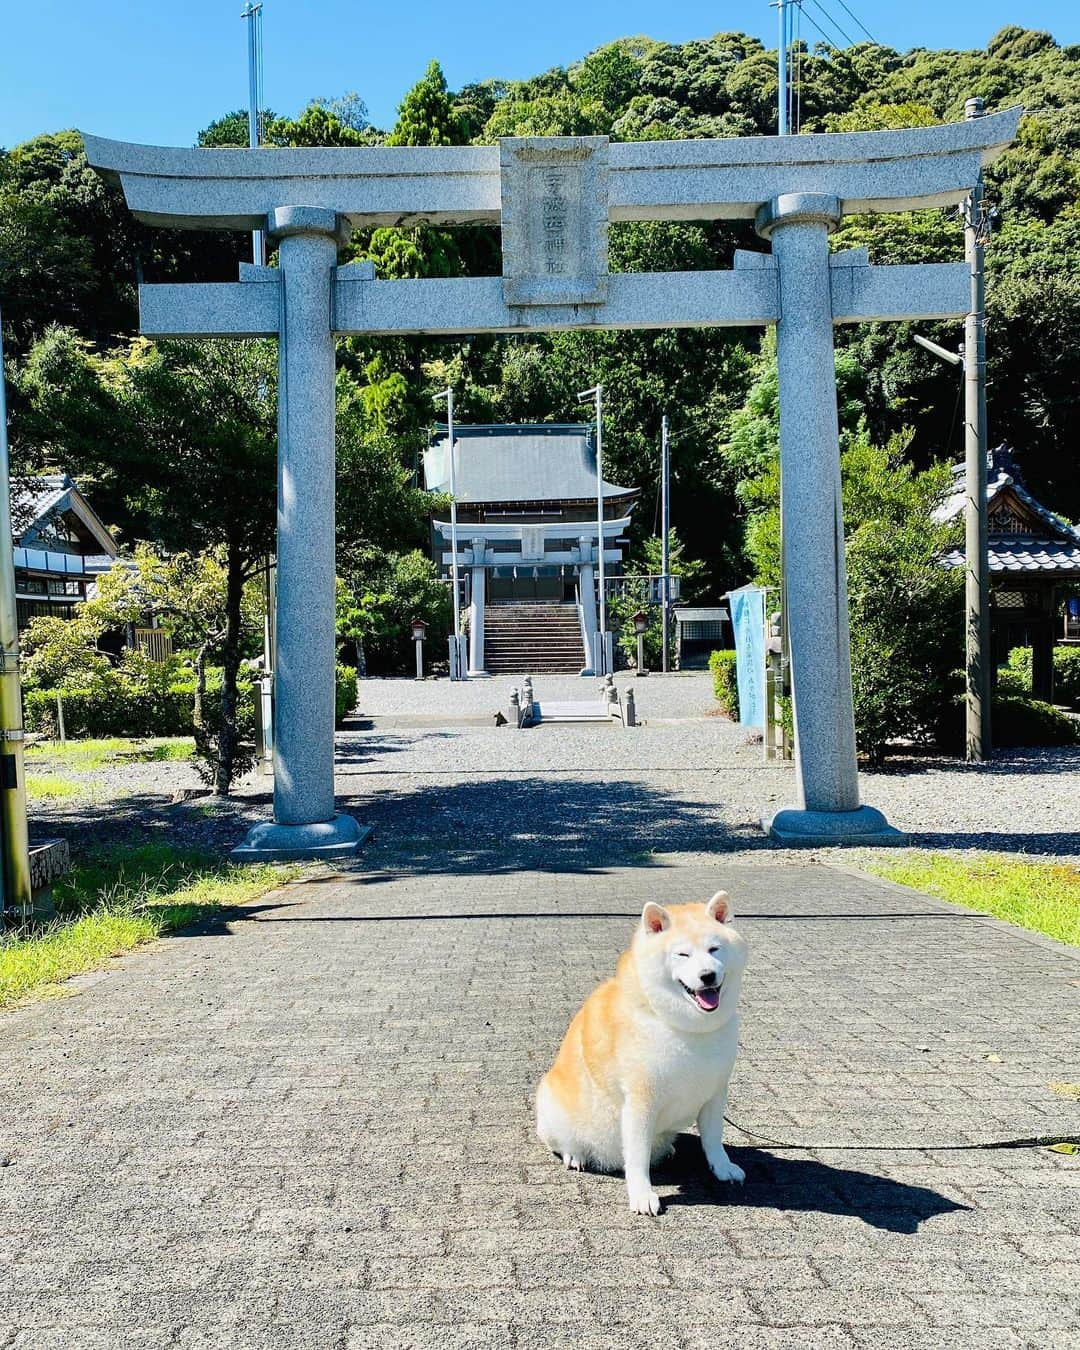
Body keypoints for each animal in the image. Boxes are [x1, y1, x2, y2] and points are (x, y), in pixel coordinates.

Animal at [534, 891, 745, 1220]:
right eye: (682, 955)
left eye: (714, 949)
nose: (708, 975)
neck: (685, 1029)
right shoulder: (640, 1101)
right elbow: (637, 1156)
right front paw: (642, 1194)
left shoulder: (715, 1092)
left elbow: (713, 1139)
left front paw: (722, 1168)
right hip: (552, 1104)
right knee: (563, 1141)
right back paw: (575, 1154)